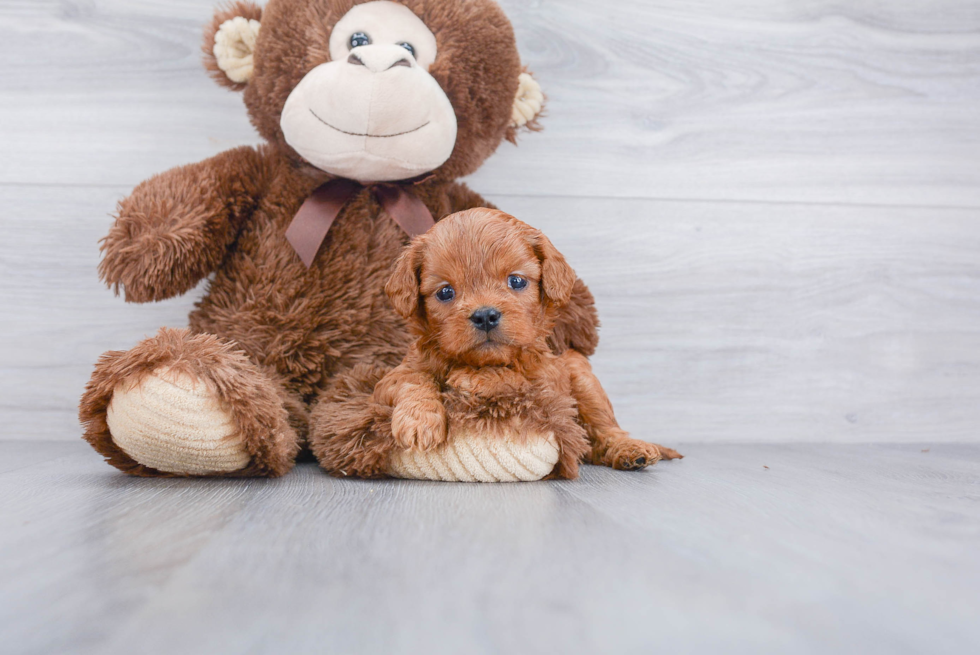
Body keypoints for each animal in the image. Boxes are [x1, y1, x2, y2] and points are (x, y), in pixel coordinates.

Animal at [336, 208, 680, 480]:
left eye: (516, 281)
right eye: (445, 292)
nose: (485, 315)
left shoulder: (550, 381)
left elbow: (518, 378)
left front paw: (471, 378)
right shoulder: (392, 377)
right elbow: (413, 380)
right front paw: (419, 421)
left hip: (580, 372)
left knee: (603, 431)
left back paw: (630, 450)